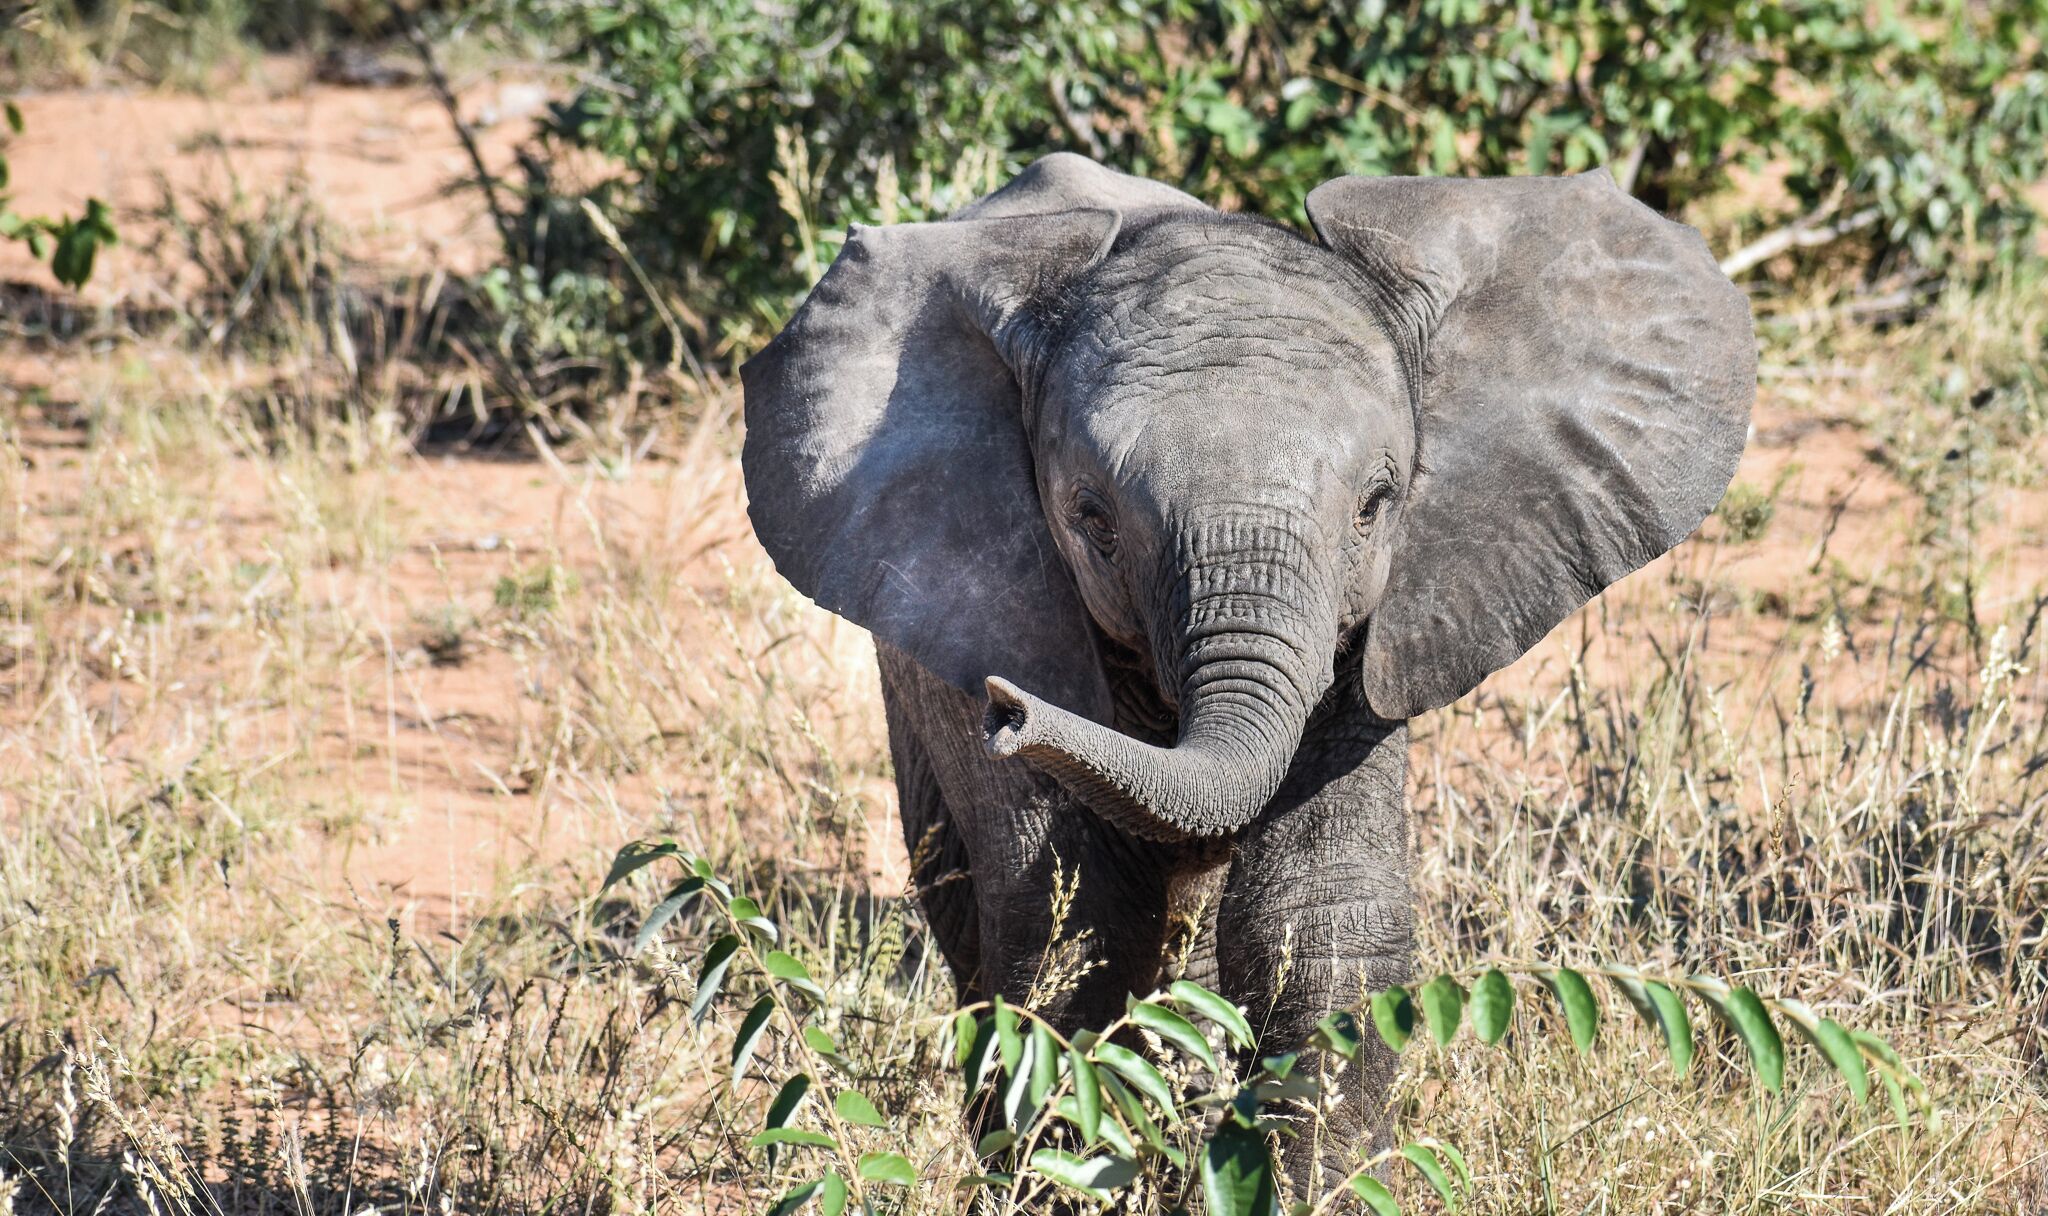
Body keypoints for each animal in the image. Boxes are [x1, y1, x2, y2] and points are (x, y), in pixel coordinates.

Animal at [740, 153, 1754, 1195]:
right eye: (1092, 520)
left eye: (1377, 504)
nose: (1010, 712)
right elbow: (1076, 923)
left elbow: (1316, 920)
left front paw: (1315, 1189)